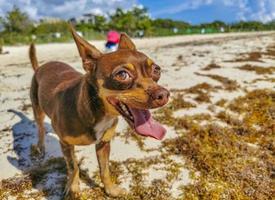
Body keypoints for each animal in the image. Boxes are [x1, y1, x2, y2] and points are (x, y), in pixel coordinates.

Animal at [29, 25, 169, 198]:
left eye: (157, 70)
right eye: (122, 75)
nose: (163, 95)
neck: (97, 113)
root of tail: (40, 67)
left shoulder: (103, 144)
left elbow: (104, 170)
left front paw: (110, 190)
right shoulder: (66, 144)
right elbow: (73, 167)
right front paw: (74, 189)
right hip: (37, 110)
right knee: (41, 128)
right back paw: (40, 147)